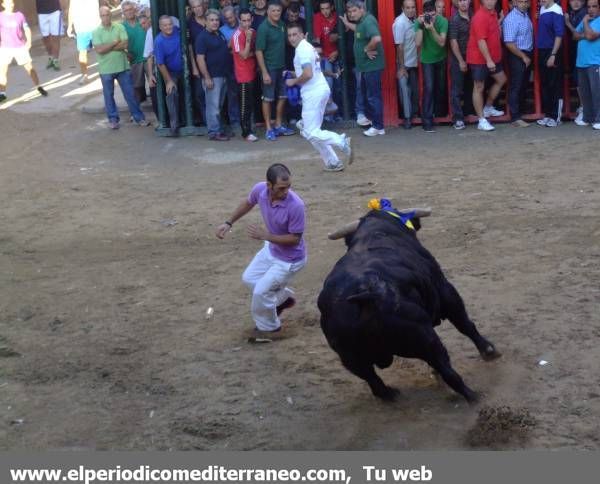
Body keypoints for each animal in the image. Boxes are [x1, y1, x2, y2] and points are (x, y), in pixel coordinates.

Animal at [318, 210, 502, 402]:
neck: (377, 231)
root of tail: (366, 296)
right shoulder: (446, 291)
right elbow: (465, 324)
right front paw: (489, 350)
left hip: (350, 358)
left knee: (372, 380)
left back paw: (390, 394)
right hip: (427, 340)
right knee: (448, 371)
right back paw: (474, 396)